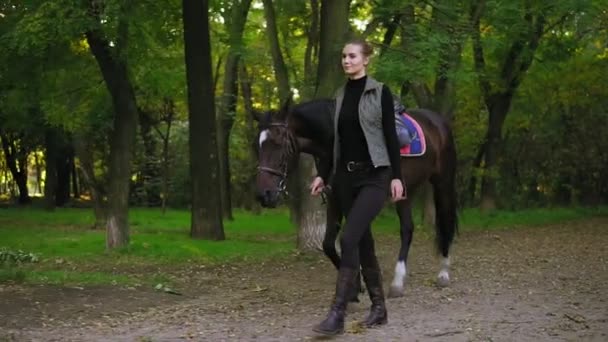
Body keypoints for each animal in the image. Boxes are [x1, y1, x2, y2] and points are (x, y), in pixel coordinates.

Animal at [254, 97, 458, 296]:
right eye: (259, 147)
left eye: (278, 144)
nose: (264, 195)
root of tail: (437, 120)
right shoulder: (335, 199)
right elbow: (329, 244)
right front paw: (357, 283)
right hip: (405, 191)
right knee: (408, 228)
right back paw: (399, 281)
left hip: (442, 182)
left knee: (442, 220)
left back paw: (440, 273)